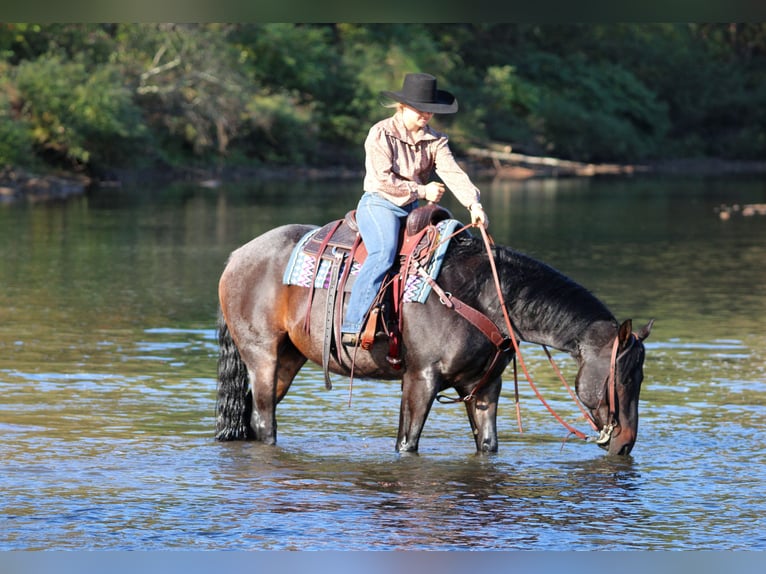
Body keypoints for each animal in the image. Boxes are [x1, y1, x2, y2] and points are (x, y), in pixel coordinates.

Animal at [215, 219, 653, 456]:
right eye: (624, 376)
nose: (627, 443)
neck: (484, 295)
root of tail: (237, 256)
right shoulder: (421, 378)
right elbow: (407, 443)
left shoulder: (483, 387)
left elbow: (488, 445)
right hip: (262, 357)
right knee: (264, 420)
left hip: (288, 360)